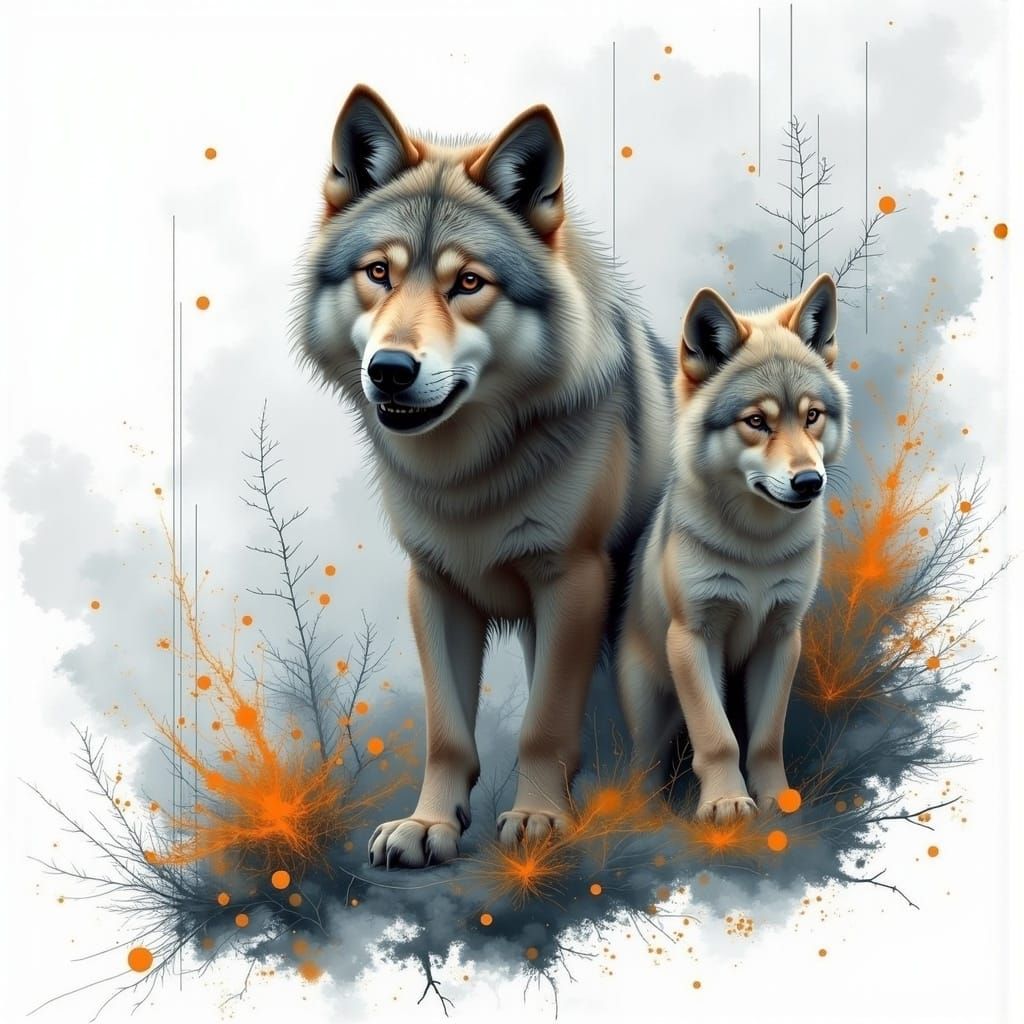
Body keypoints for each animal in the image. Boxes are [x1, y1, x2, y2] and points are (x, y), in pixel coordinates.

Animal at [294, 85, 672, 867]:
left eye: (467, 282)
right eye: (379, 273)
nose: (390, 370)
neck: (468, 475)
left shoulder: (572, 580)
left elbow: (544, 724)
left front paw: (538, 817)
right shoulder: (434, 587)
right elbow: (447, 734)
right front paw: (428, 825)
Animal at [617, 274, 850, 824]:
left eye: (811, 416)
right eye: (756, 422)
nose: (809, 482)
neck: (756, 548)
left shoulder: (782, 639)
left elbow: (765, 740)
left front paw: (777, 801)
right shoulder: (693, 637)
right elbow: (716, 737)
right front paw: (725, 803)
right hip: (650, 702)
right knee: (645, 762)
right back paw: (643, 815)